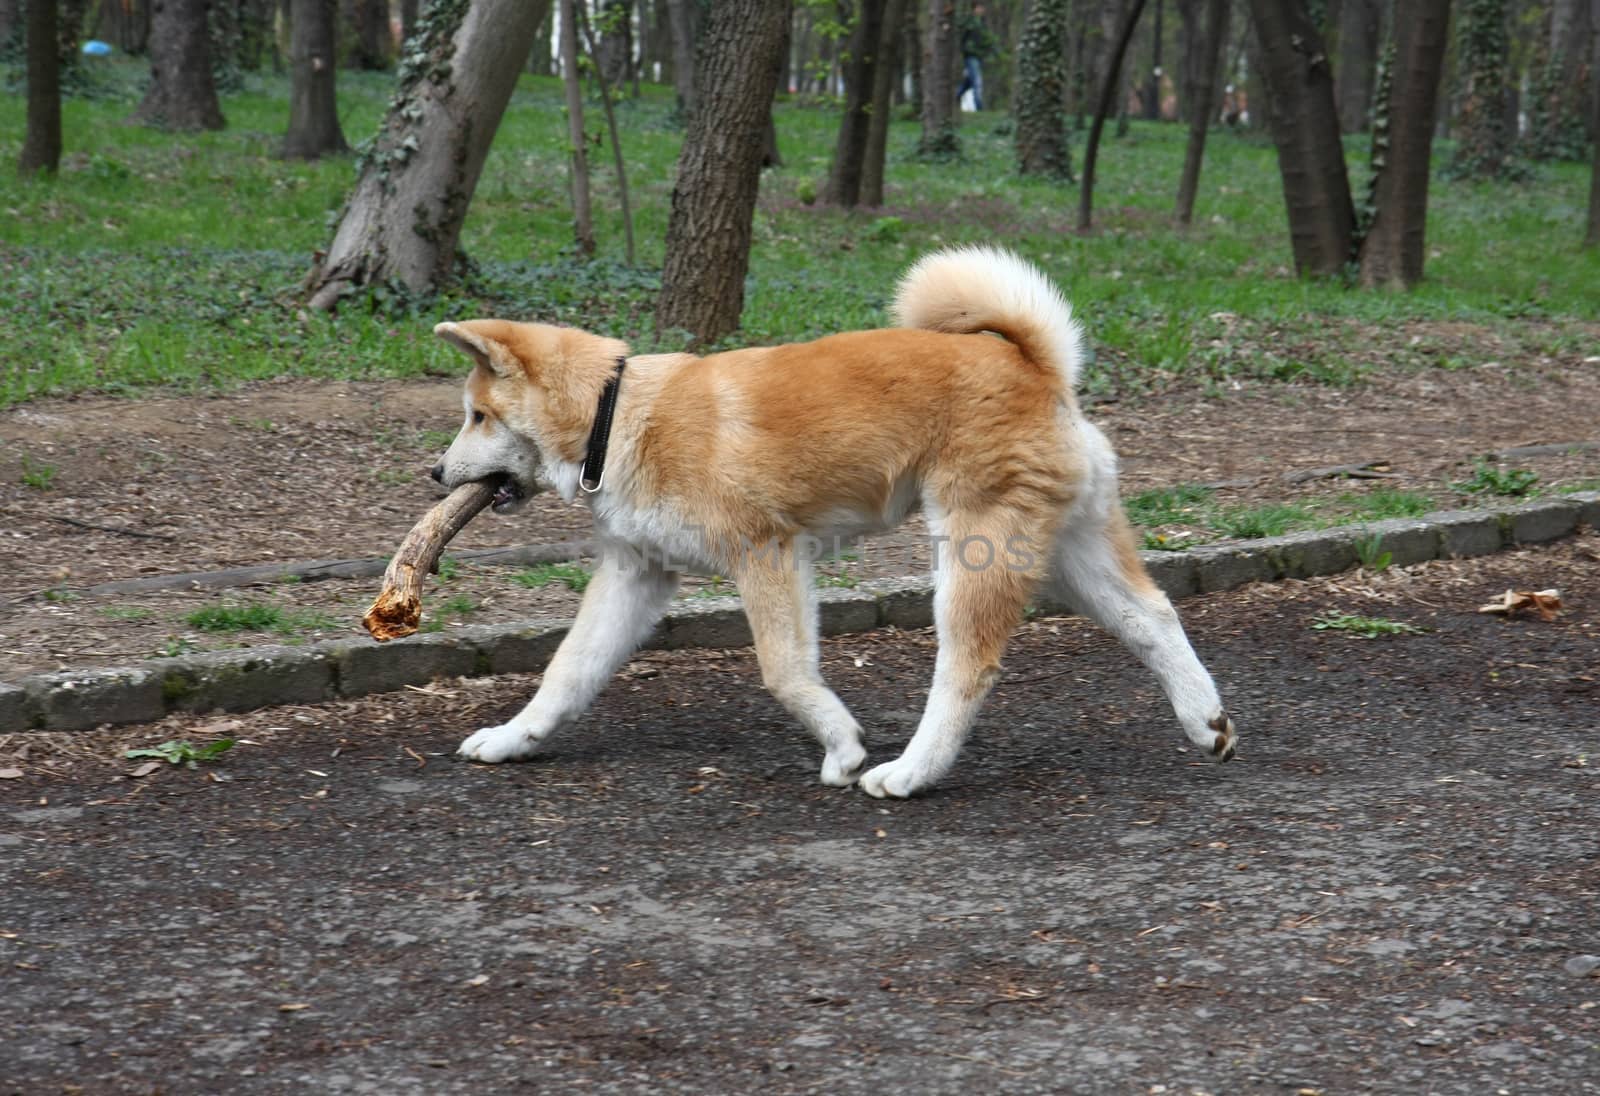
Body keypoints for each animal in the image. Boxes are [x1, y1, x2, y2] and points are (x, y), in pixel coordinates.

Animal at [428, 246, 1235, 793]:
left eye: (477, 416)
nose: (434, 474)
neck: (617, 415)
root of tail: (1034, 364)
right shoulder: (637, 574)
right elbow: (566, 673)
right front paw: (513, 738)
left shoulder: (768, 554)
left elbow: (784, 671)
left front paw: (843, 748)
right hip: (1070, 549)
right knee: (1152, 618)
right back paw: (1207, 722)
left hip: (974, 554)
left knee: (966, 669)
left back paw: (909, 772)